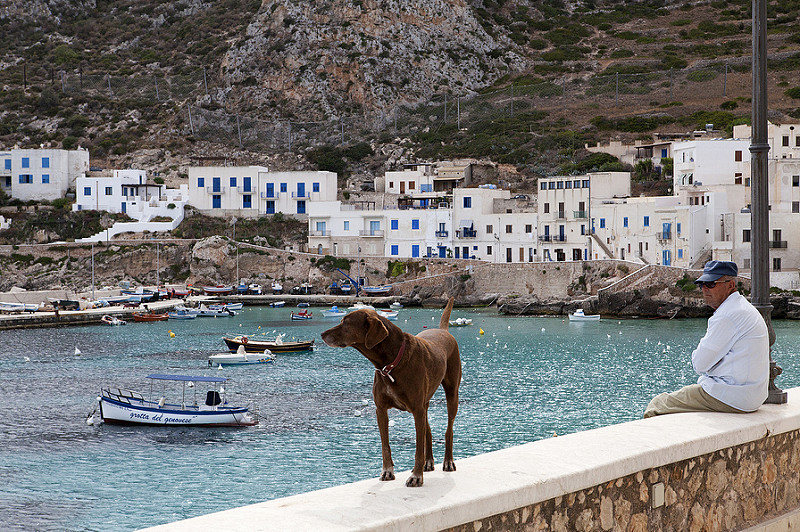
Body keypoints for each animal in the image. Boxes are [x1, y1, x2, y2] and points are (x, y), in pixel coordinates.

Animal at [320, 298, 462, 488]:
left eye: (345, 323)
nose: (322, 334)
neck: (391, 364)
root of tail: (443, 330)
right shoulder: (381, 410)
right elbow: (385, 446)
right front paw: (387, 471)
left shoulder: (417, 410)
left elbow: (418, 448)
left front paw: (416, 476)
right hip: (424, 403)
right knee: (428, 431)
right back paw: (429, 461)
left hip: (452, 394)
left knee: (448, 430)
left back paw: (448, 461)